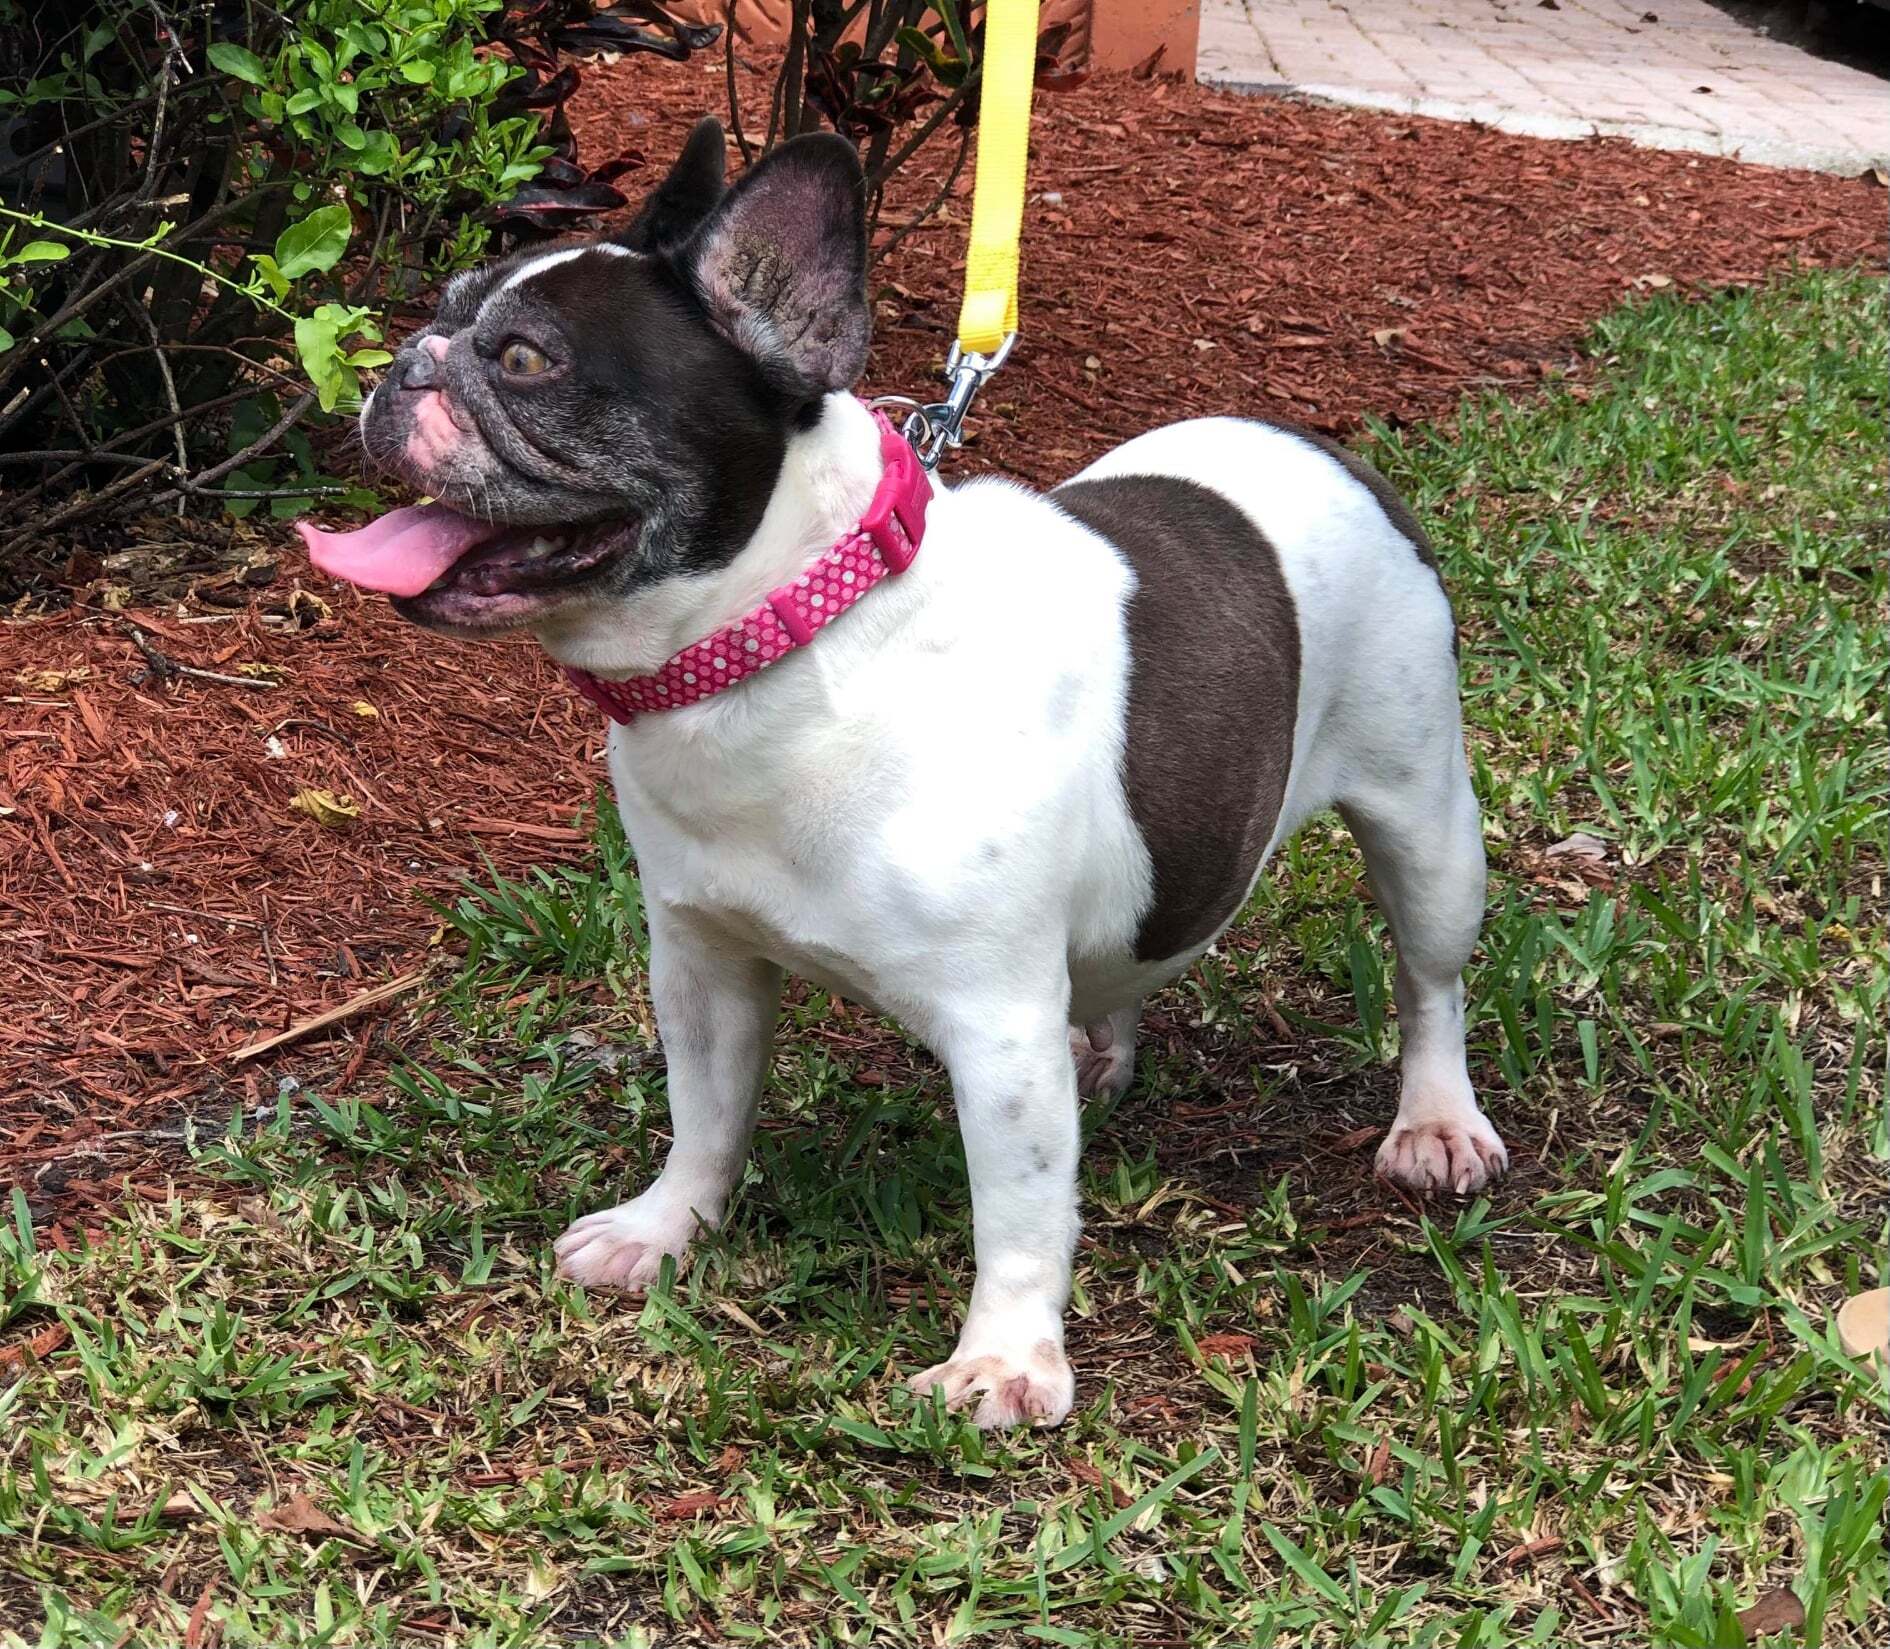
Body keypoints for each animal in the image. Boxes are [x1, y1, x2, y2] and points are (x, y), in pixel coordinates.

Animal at [298, 119, 1504, 1429]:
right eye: (442, 310)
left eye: (524, 360)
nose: (403, 363)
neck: (783, 637)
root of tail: (1322, 447)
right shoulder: (703, 962)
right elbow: (704, 1112)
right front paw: (665, 1227)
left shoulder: (996, 1028)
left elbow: (1018, 1206)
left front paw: (1005, 1360)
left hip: (1425, 820)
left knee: (1431, 980)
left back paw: (1437, 1119)